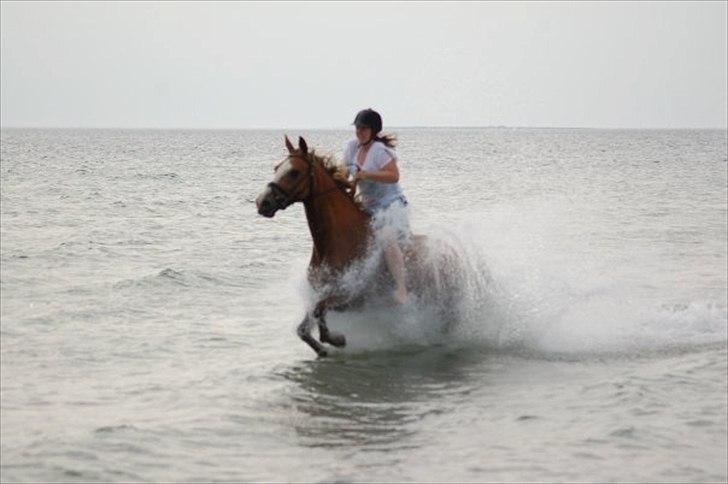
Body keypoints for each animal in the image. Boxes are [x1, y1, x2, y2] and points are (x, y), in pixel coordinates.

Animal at [256, 136, 460, 356]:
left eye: (294, 172)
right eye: (277, 167)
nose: (262, 202)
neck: (336, 242)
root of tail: (453, 253)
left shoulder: (352, 298)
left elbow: (320, 311)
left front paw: (336, 340)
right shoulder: (321, 294)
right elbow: (305, 326)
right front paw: (323, 348)